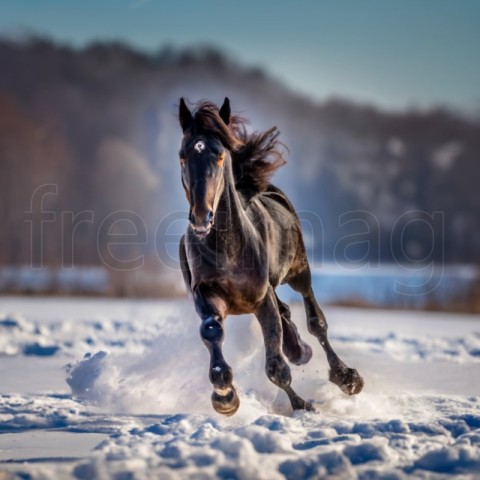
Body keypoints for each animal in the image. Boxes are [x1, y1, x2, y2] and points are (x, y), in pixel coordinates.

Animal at [179, 98, 364, 416]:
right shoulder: (207, 294)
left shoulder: (261, 296)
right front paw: (224, 394)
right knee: (287, 314)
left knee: (316, 321)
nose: (202, 217)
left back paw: (346, 377)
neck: (226, 247)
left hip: (299, 270)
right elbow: (212, 330)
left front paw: (302, 405)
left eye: (219, 156)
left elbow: (277, 364)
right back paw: (299, 349)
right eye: (182, 157)